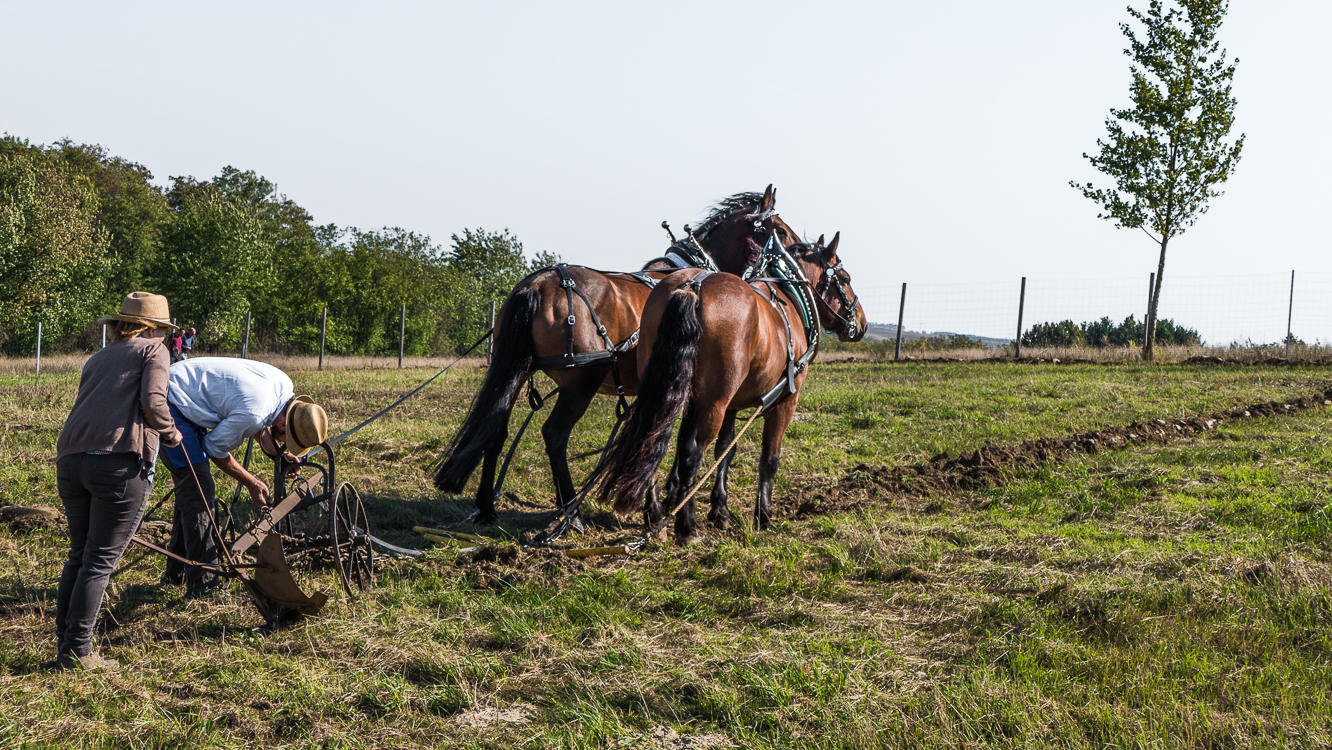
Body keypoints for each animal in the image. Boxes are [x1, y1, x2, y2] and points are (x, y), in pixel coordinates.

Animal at [434, 187, 799, 522]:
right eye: (781, 231)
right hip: (580, 384)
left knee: (495, 429)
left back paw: (487, 506)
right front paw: (662, 506)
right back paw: (571, 511)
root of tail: (536, 285)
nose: (798, 256)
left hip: (516, 369)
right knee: (555, 435)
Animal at [591, 231, 863, 543]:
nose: (862, 323)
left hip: (669, 388)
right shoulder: (784, 400)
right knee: (692, 452)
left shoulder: (727, 402)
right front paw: (763, 515)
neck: (788, 295)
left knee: (651, 439)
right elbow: (769, 457)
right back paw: (687, 526)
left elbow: (725, 450)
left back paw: (655, 516)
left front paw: (720, 510)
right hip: (715, 402)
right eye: (845, 278)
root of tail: (692, 287)